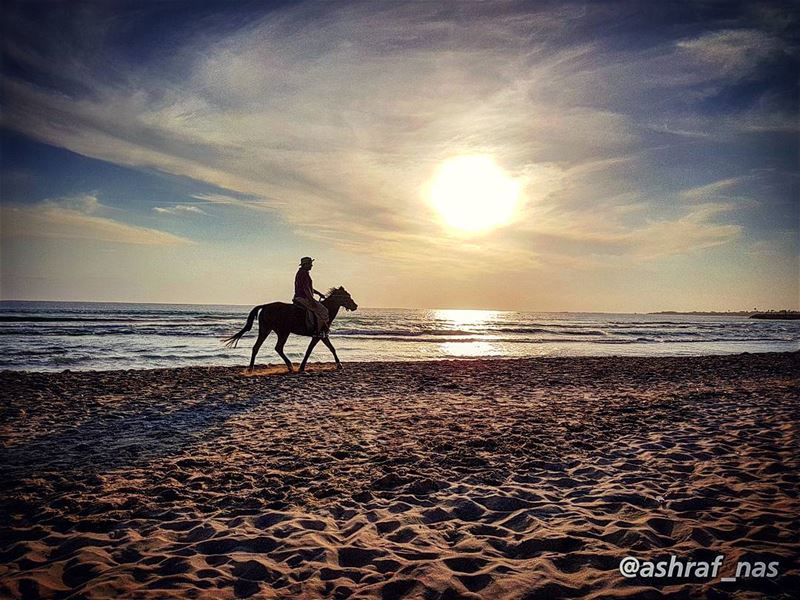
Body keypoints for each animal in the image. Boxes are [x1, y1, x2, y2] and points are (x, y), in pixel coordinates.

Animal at [220, 284, 354, 370]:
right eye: (347, 296)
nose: (355, 306)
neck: (327, 310)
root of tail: (265, 306)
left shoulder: (322, 335)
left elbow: (331, 348)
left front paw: (339, 365)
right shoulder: (318, 335)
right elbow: (310, 350)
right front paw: (302, 367)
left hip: (271, 331)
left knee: (262, 347)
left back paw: (254, 368)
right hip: (279, 331)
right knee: (273, 347)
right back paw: (288, 366)